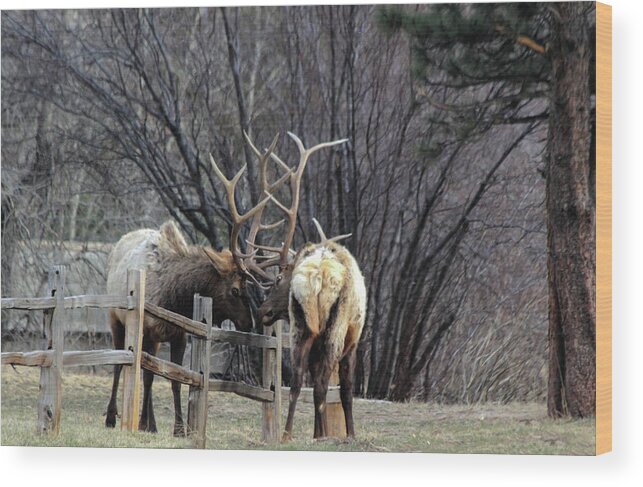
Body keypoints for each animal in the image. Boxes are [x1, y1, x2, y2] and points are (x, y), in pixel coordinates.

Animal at [105, 135, 290, 436]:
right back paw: (111, 416)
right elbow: (147, 373)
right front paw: (149, 423)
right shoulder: (147, 328)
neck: (175, 298)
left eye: (248, 288)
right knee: (119, 364)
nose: (249, 323)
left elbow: (173, 377)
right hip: (115, 318)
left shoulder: (178, 334)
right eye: (235, 289)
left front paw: (176, 427)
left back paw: (148, 421)